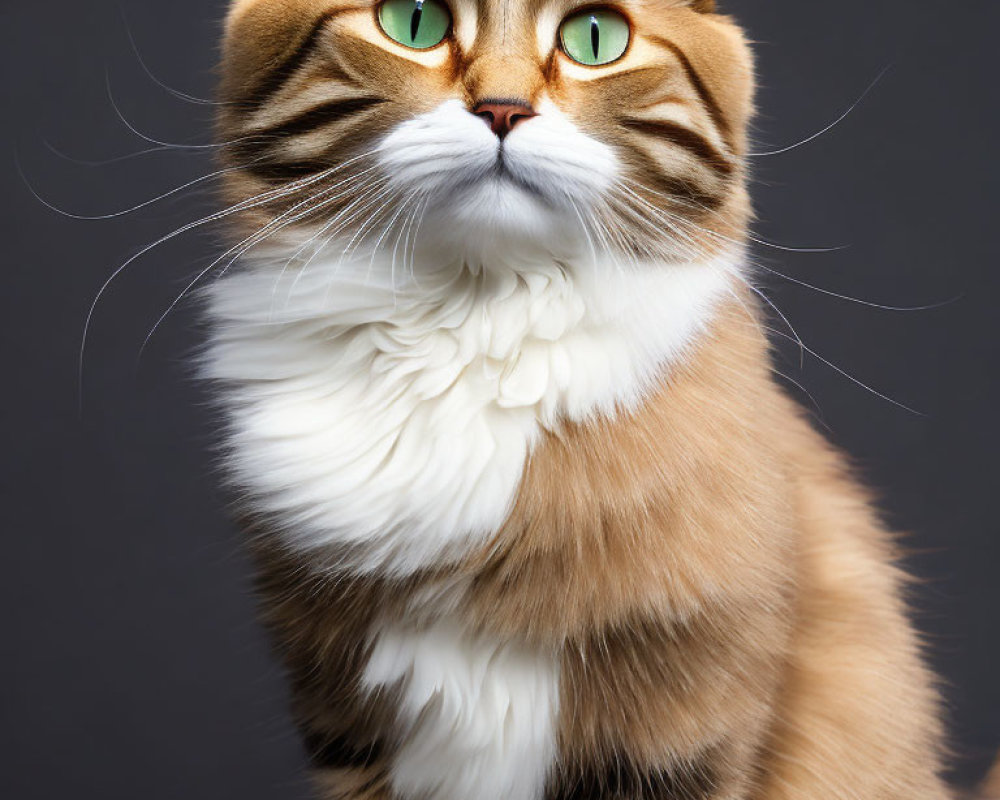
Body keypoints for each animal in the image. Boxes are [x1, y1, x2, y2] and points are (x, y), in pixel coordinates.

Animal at [201, 1, 952, 800]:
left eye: (595, 37)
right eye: (414, 22)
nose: (503, 108)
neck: (471, 331)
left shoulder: (684, 728)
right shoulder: (343, 715)